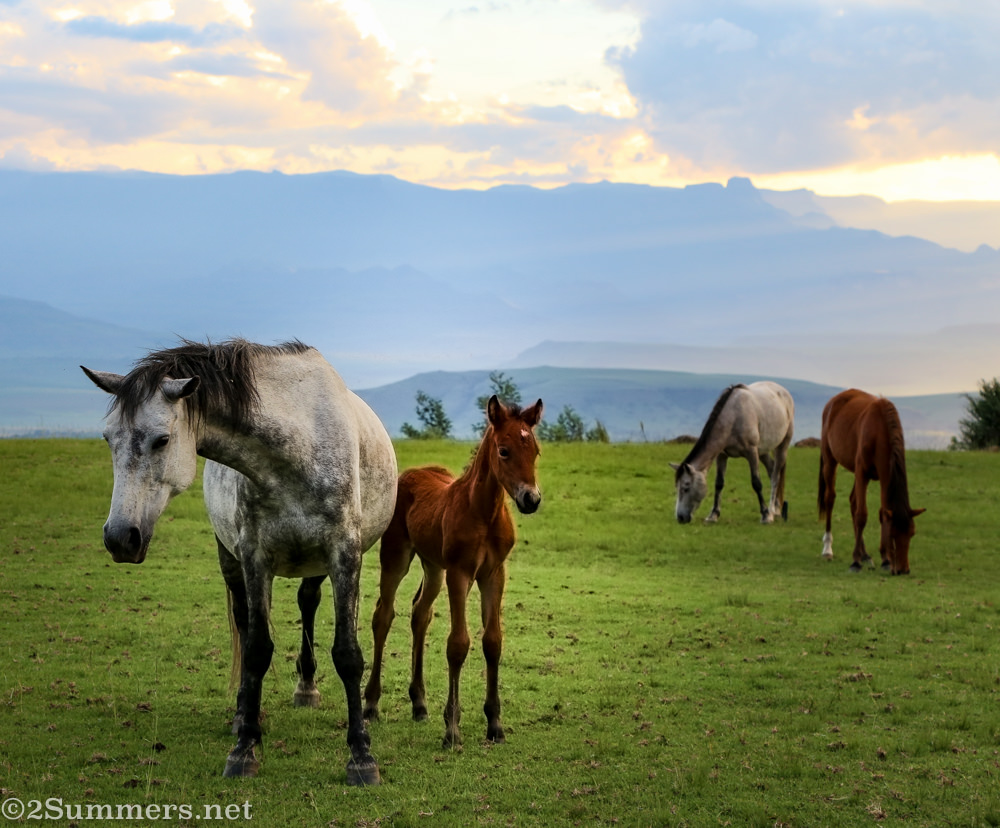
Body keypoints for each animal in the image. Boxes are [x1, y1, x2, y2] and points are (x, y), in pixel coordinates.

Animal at [82, 339, 397, 785]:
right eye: (109, 439)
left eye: (161, 440)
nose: (119, 538)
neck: (295, 450)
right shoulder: (253, 557)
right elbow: (256, 650)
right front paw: (245, 748)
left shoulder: (344, 555)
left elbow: (348, 655)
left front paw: (361, 757)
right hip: (231, 562)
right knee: (247, 624)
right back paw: (244, 713)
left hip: (316, 565)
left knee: (308, 602)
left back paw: (306, 688)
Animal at [362, 395, 543, 749]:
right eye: (504, 450)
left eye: (535, 451)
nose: (531, 499)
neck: (484, 514)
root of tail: (412, 473)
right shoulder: (460, 573)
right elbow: (458, 644)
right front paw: (452, 730)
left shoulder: (493, 574)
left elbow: (493, 641)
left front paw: (495, 724)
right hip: (397, 557)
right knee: (383, 615)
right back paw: (372, 703)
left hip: (433, 566)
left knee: (420, 613)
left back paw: (419, 704)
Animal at [670, 381, 795, 524]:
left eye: (686, 487)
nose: (680, 517)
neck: (734, 417)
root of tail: (783, 391)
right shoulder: (722, 455)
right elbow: (719, 483)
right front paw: (713, 515)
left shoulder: (752, 452)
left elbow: (756, 483)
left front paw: (765, 515)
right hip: (763, 451)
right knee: (771, 469)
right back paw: (777, 508)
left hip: (782, 446)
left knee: (775, 476)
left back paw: (771, 511)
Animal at [818, 388, 925, 574]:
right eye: (893, 535)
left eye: (912, 533)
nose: (903, 570)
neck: (879, 431)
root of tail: (833, 402)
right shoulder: (862, 473)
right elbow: (862, 515)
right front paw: (855, 562)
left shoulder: (885, 476)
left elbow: (882, 513)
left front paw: (885, 560)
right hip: (830, 461)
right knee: (830, 498)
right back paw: (828, 549)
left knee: (853, 501)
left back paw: (864, 554)